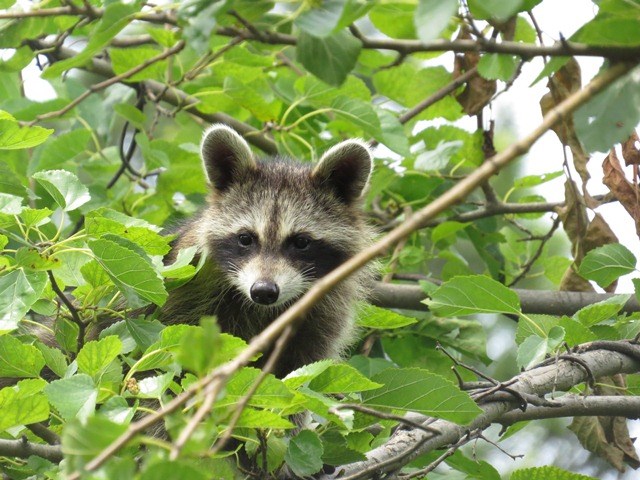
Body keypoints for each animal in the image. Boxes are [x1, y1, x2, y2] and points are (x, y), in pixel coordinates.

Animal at [159, 124, 376, 378]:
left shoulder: (323, 317)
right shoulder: (187, 287)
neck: (264, 310)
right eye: (245, 238)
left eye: (301, 242)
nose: (263, 291)